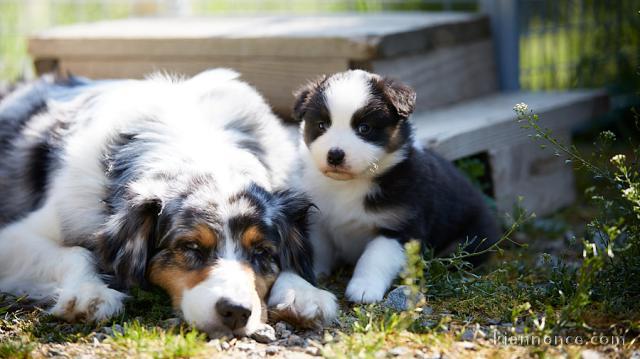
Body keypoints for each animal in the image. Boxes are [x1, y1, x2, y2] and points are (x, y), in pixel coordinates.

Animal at [0, 69, 338, 338]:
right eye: (191, 247)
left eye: (263, 252)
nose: (236, 312)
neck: (197, 143)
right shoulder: (16, 235)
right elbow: (77, 253)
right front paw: (89, 293)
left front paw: (303, 293)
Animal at [292, 69, 500, 304]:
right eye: (321, 125)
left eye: (364, 128)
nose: (335, 155)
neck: (349, 184)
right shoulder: (318, 220)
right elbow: (316, 249)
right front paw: (308, 281)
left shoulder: (401, 226)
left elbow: (374, 257)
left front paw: (364, 289)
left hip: (468, 238)